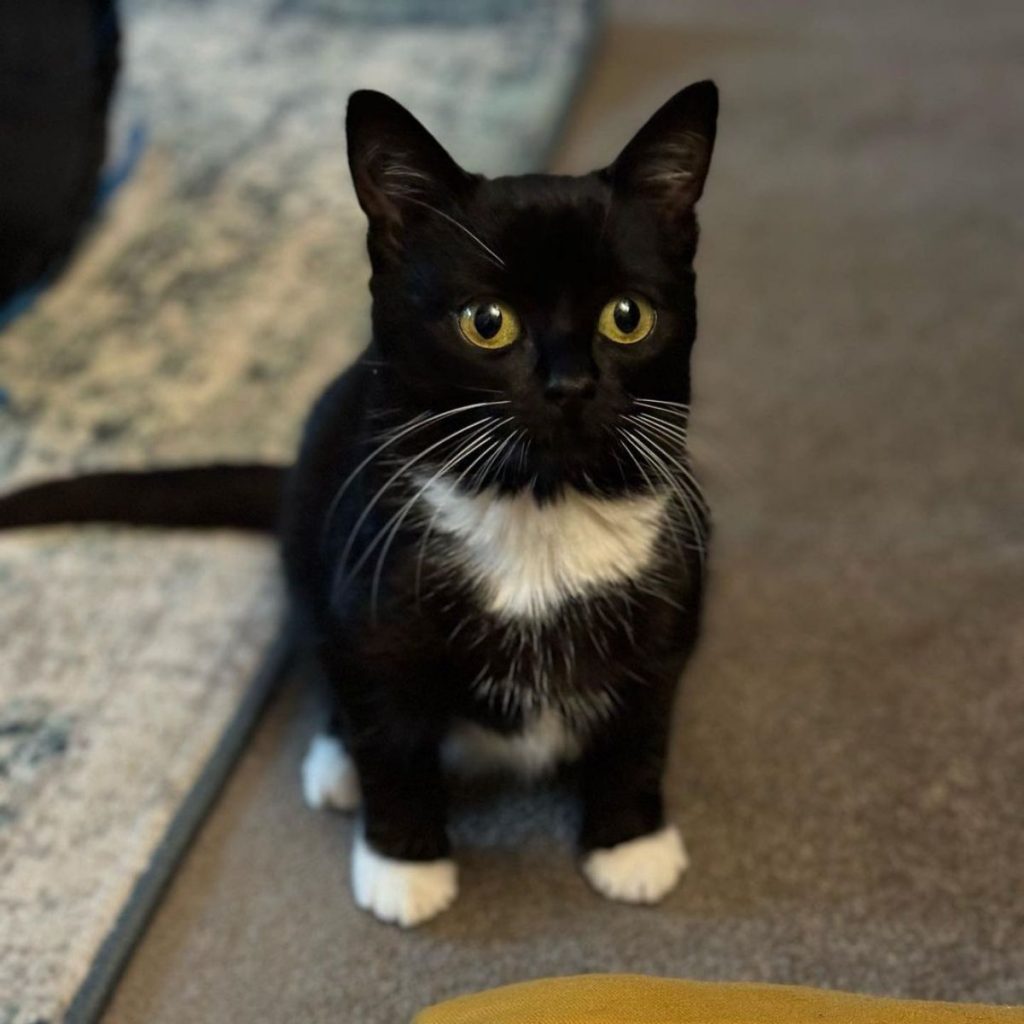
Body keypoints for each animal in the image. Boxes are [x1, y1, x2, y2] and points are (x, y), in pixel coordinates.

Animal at [0, 81, 720, 929]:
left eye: (626, 316)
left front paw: (630, 845)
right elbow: (390, 735)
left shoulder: (670, 604)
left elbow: (641, 727)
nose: (570, 386)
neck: (539, 508)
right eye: (487, 322)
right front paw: (404, 867)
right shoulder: (372, 597)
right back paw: (336, 763)